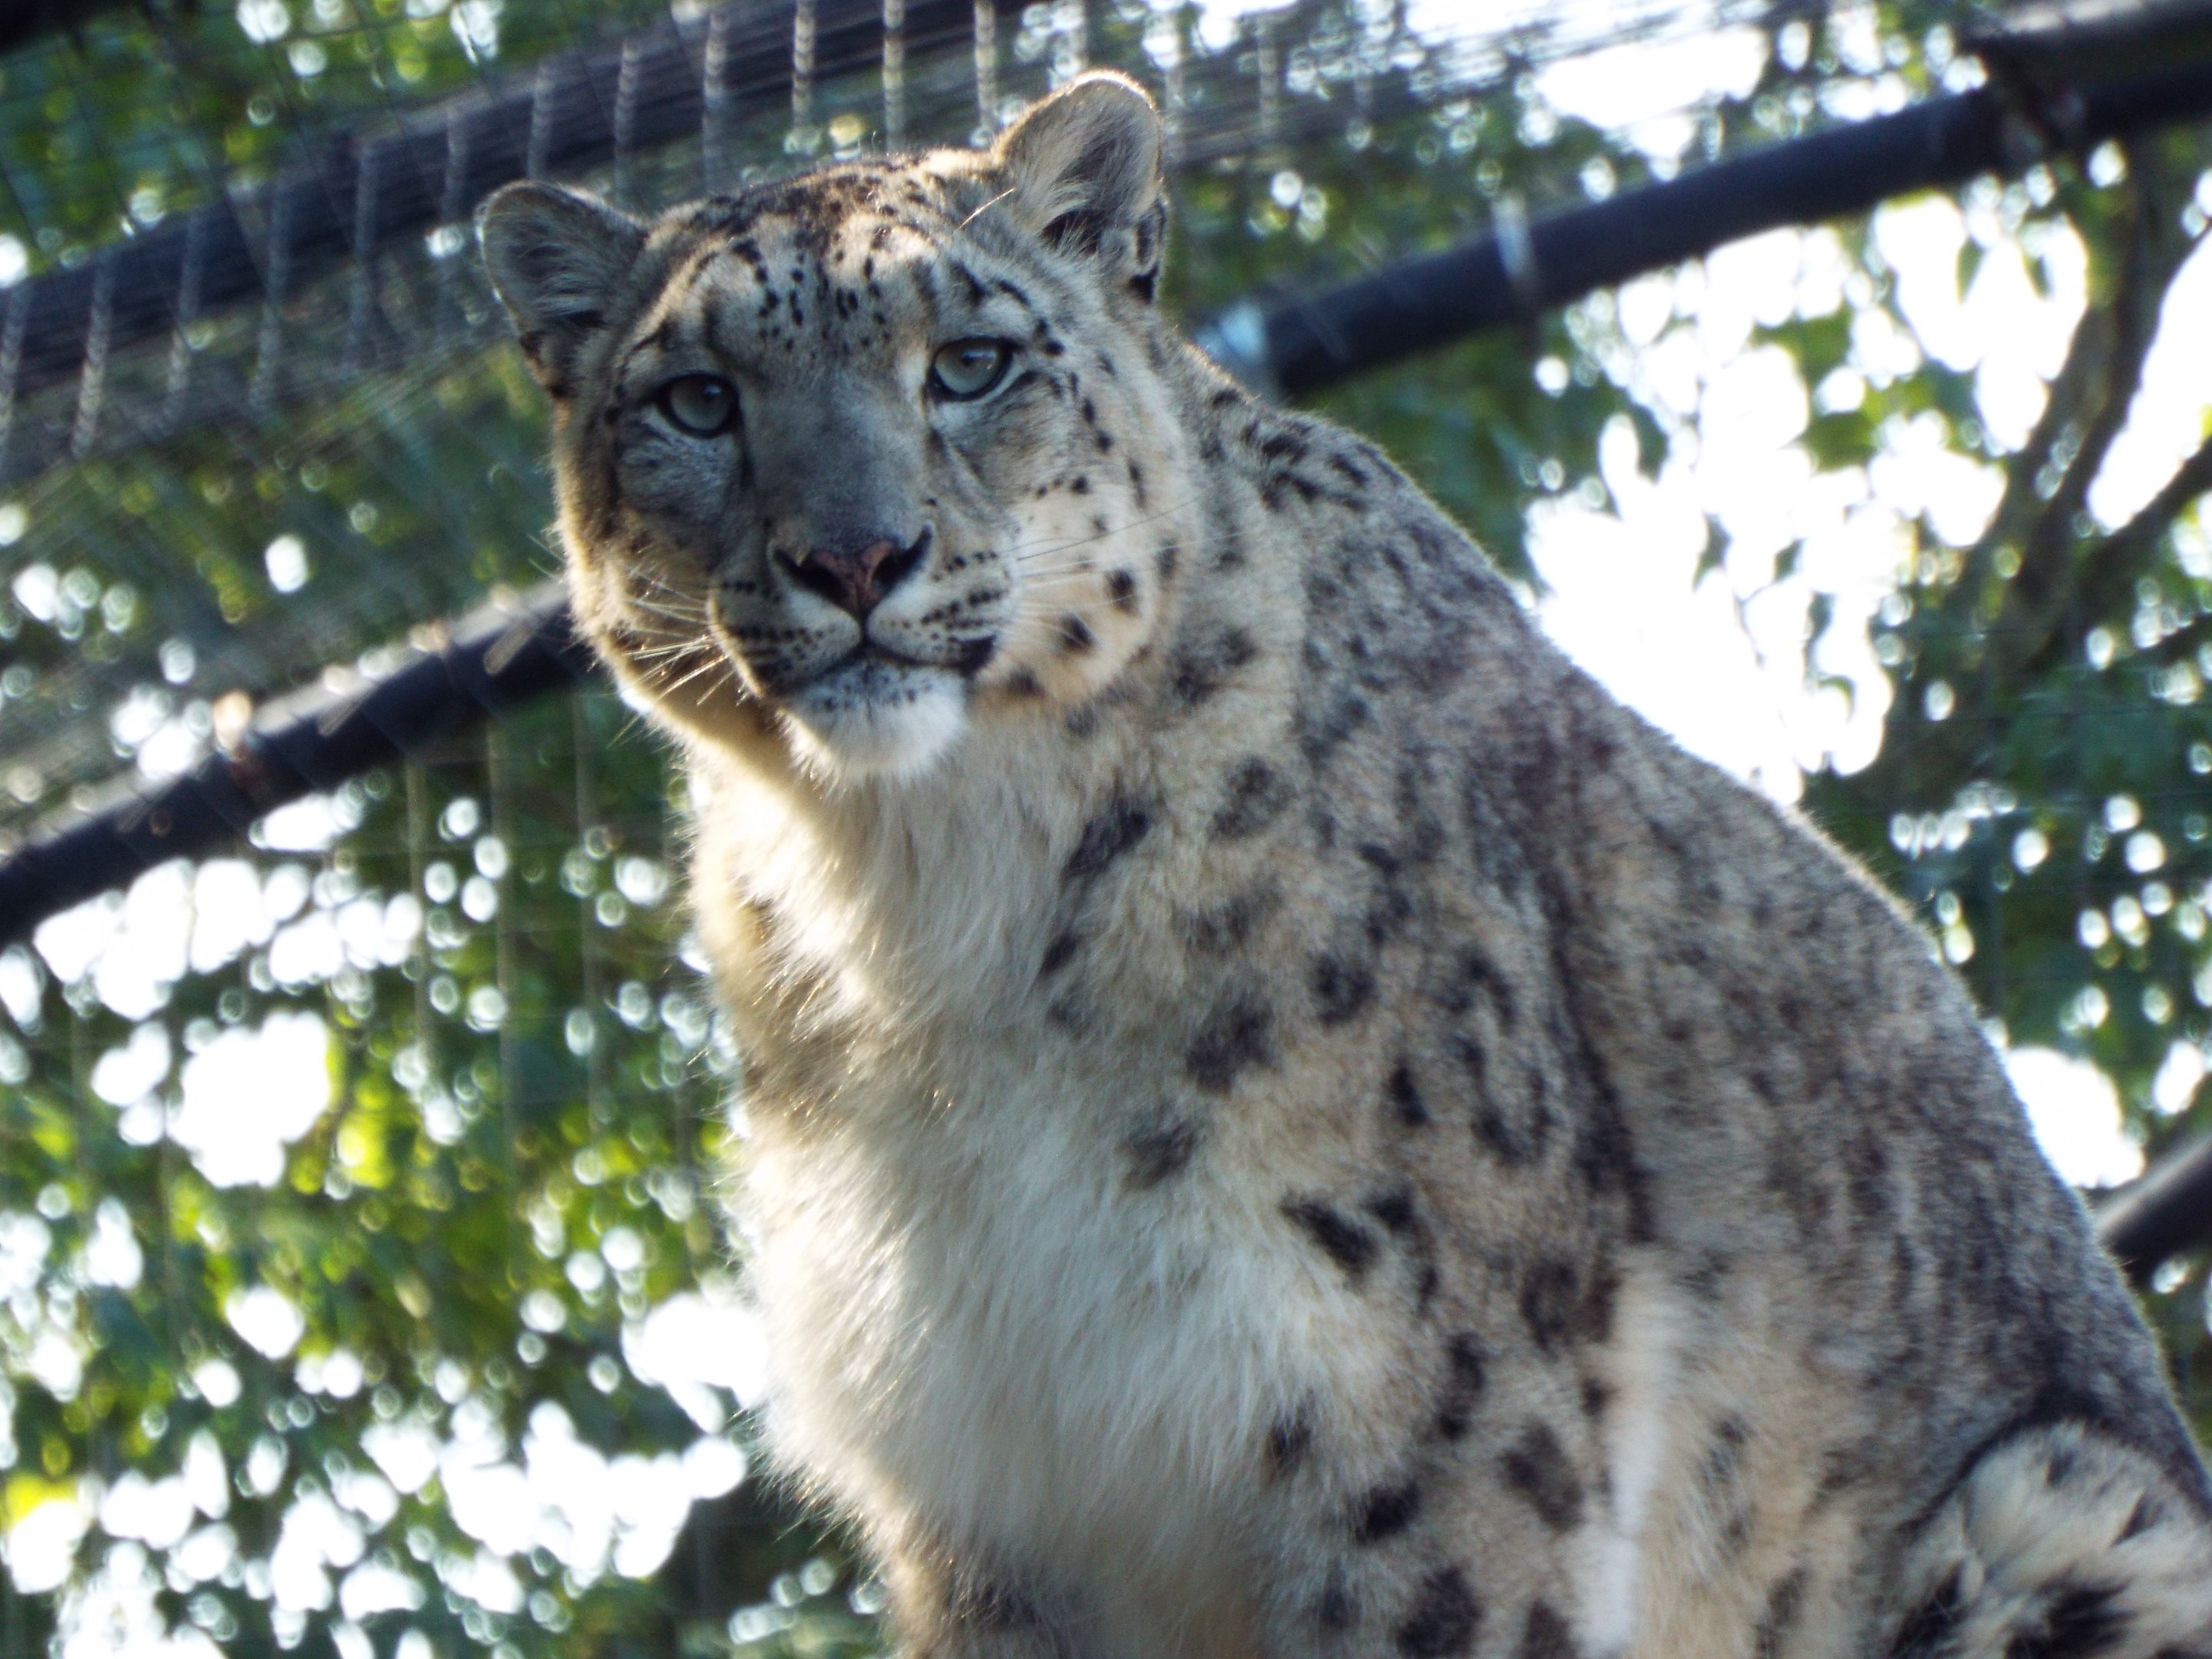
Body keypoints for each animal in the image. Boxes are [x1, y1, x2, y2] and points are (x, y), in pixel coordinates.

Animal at [479, 71, 2212, 1659]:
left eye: (969, 363)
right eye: (697, 398)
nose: (854, 557)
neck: (917, 908)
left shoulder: (1430, 1410)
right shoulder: (983, 1477)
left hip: (2073, 1517)